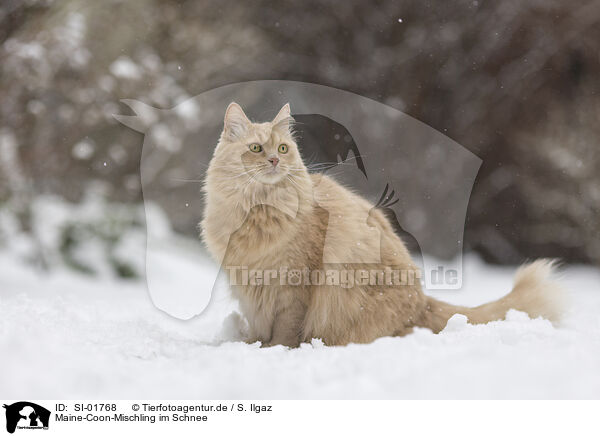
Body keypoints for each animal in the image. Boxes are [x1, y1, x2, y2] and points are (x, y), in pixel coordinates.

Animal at [204, 102, 564, 348]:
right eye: (255, 148)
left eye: (283, 148)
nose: (275, 160)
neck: (258, 213)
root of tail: (422, 300)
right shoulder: (251, 290)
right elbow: (258, 328)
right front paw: (252, 345)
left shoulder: (293, 287)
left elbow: (284, 331)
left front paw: (275, 350)